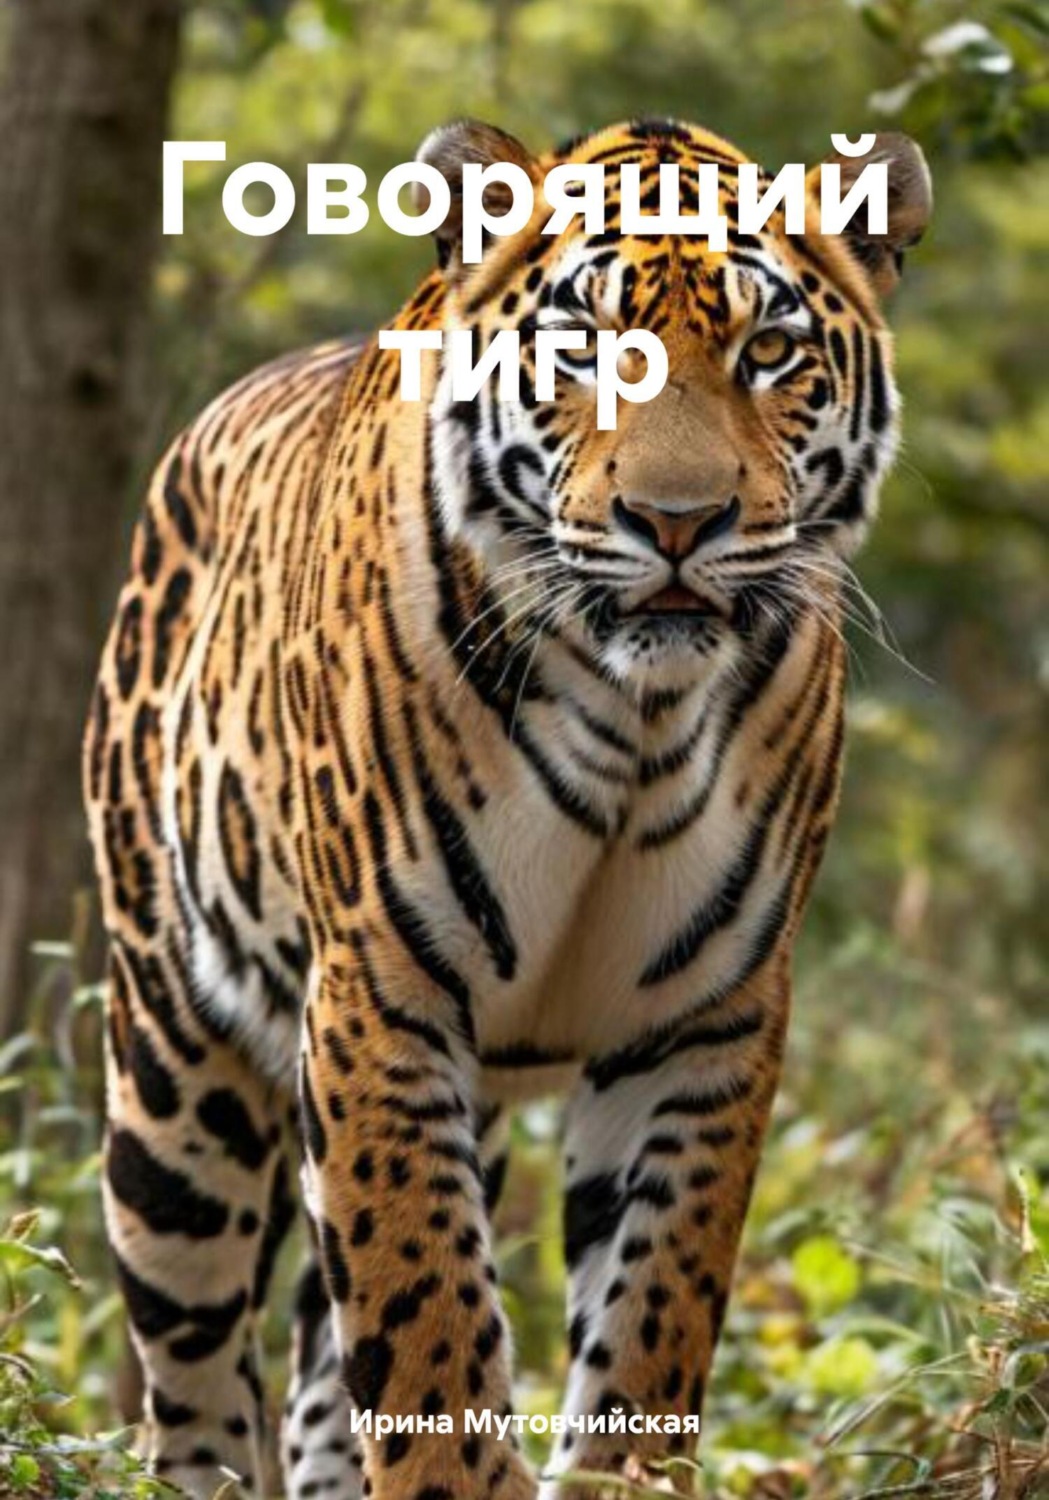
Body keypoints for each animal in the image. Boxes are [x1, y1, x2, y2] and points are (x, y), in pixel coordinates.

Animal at [83, 115, 931, 1500]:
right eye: (582, 347)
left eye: (767, 352)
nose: (677, 522)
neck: (640, 720)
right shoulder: (376, 998)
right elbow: (426, 1329)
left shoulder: (706, 1022)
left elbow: (650, 1319)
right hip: (173, 1070)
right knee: (197, 1379)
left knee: (316, 1380)